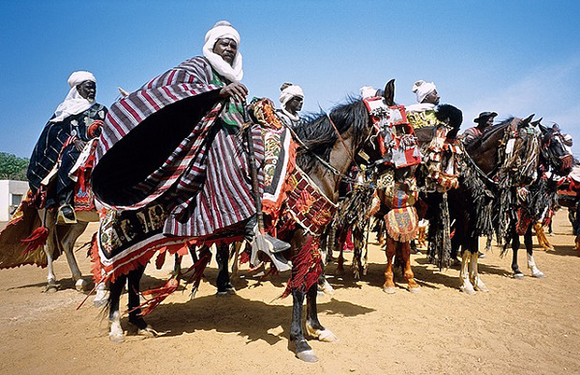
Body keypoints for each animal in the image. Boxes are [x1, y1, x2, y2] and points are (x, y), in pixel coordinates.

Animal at [103, 80, 394, 364]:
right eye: (392, 123)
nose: (391, 170)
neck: (313, 167)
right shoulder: (301, 236)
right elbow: (299, 287)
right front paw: (300, 341)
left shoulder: (314, 235)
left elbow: (311, 282)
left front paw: (318, 328)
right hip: (128, 238)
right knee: (119, 277)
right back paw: (116, 326)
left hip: (143, 244)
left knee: (132, 276)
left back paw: (140, 322)